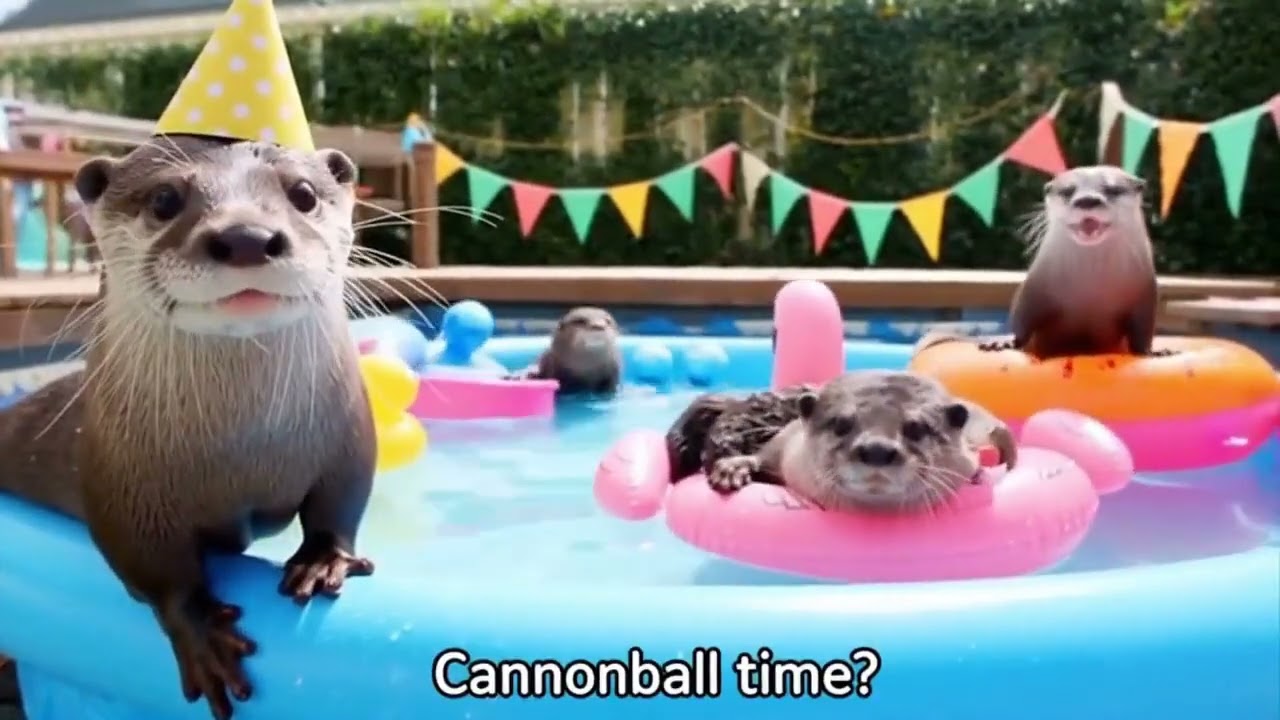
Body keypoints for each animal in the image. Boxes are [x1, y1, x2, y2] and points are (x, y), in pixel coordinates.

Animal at [0, 136, 376, 720]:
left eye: (304, 193)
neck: (244, 448)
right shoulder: (122, 488)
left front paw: (321, 563)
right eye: (164, 200)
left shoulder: (350, 436)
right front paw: (203, 636)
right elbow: (153, 569)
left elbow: (339, 505)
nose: (246, 237)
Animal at [915, 165, 1168, 359]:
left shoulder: (1145, 296)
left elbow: (1143, 330)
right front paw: (1004, 343)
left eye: (1113, 189)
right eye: (1067, 191)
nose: (1087, 200)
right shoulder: (1034, 289)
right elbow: (1022, 319)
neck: (1089, 290)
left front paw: (1152, 351)